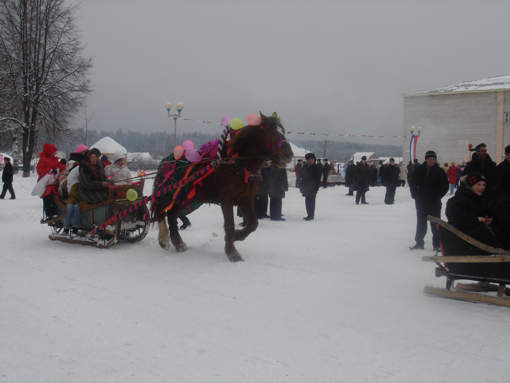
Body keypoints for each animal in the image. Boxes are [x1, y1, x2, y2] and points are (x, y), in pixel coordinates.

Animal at [153, 112, 292, 262]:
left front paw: (236, 237)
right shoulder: (227, 200)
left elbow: (253, 224)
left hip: (183, 198)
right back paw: (164, 238)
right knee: (160, 210)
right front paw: (232, 252)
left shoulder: (246, 199)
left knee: (172, 214)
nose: (289, 154)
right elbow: (230, 225)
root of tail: (166, 160)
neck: (238, 165)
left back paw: (178, 243)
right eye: (272, 132)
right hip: (168, 193)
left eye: (282, 132)